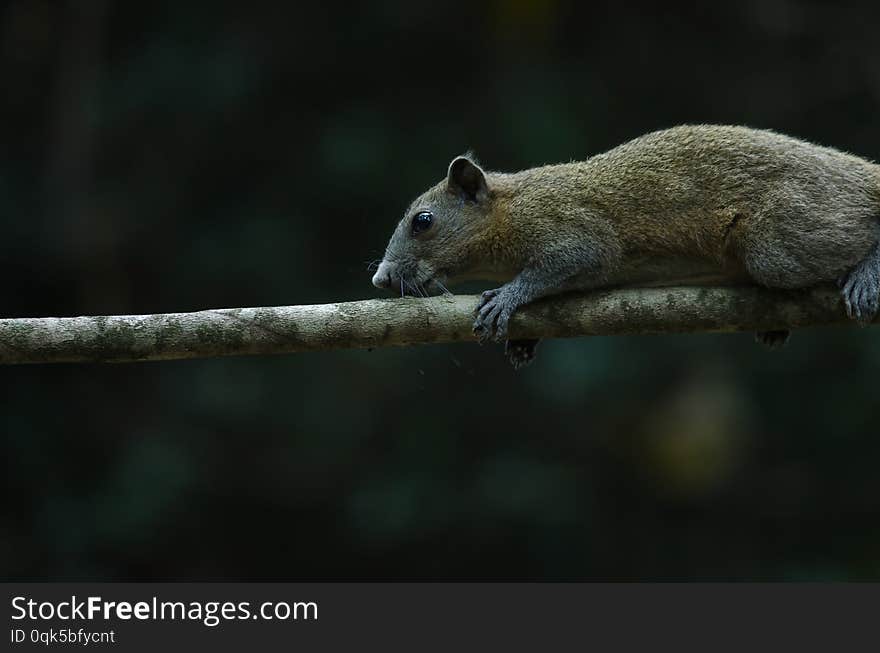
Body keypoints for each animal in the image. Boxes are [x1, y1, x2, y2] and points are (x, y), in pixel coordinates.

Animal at [370, 123, 880, 366]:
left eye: (423, 221)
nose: (381, 277)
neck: (510, 208)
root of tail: (862, 172)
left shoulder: (572, 228)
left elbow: (565, 262)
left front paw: (509, 298)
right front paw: (523, 340)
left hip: (781, 239)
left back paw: (867, 273)